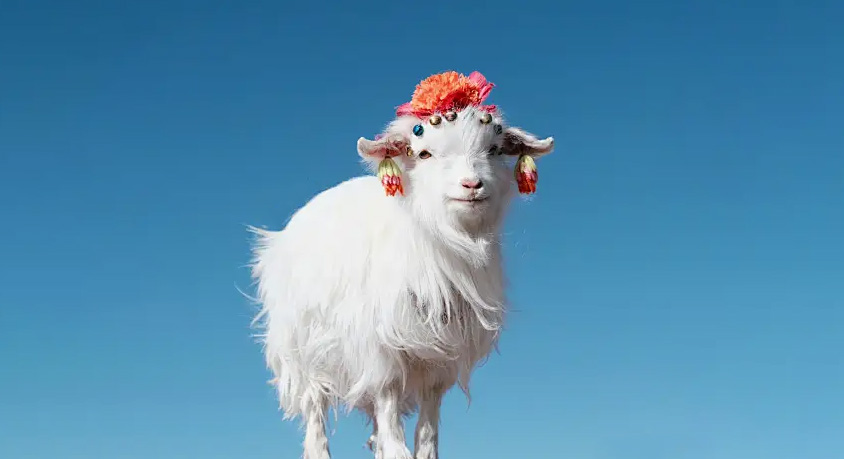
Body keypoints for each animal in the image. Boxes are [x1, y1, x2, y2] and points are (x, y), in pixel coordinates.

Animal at [249, 70, 554, 459]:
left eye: (495, 149)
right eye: (423, 153)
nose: (472, 184)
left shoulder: (438, 359)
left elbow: (427, 421)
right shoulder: (379, 348)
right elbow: (388, 402)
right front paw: (396, 451)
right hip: (302, 349)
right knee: (315, 409)